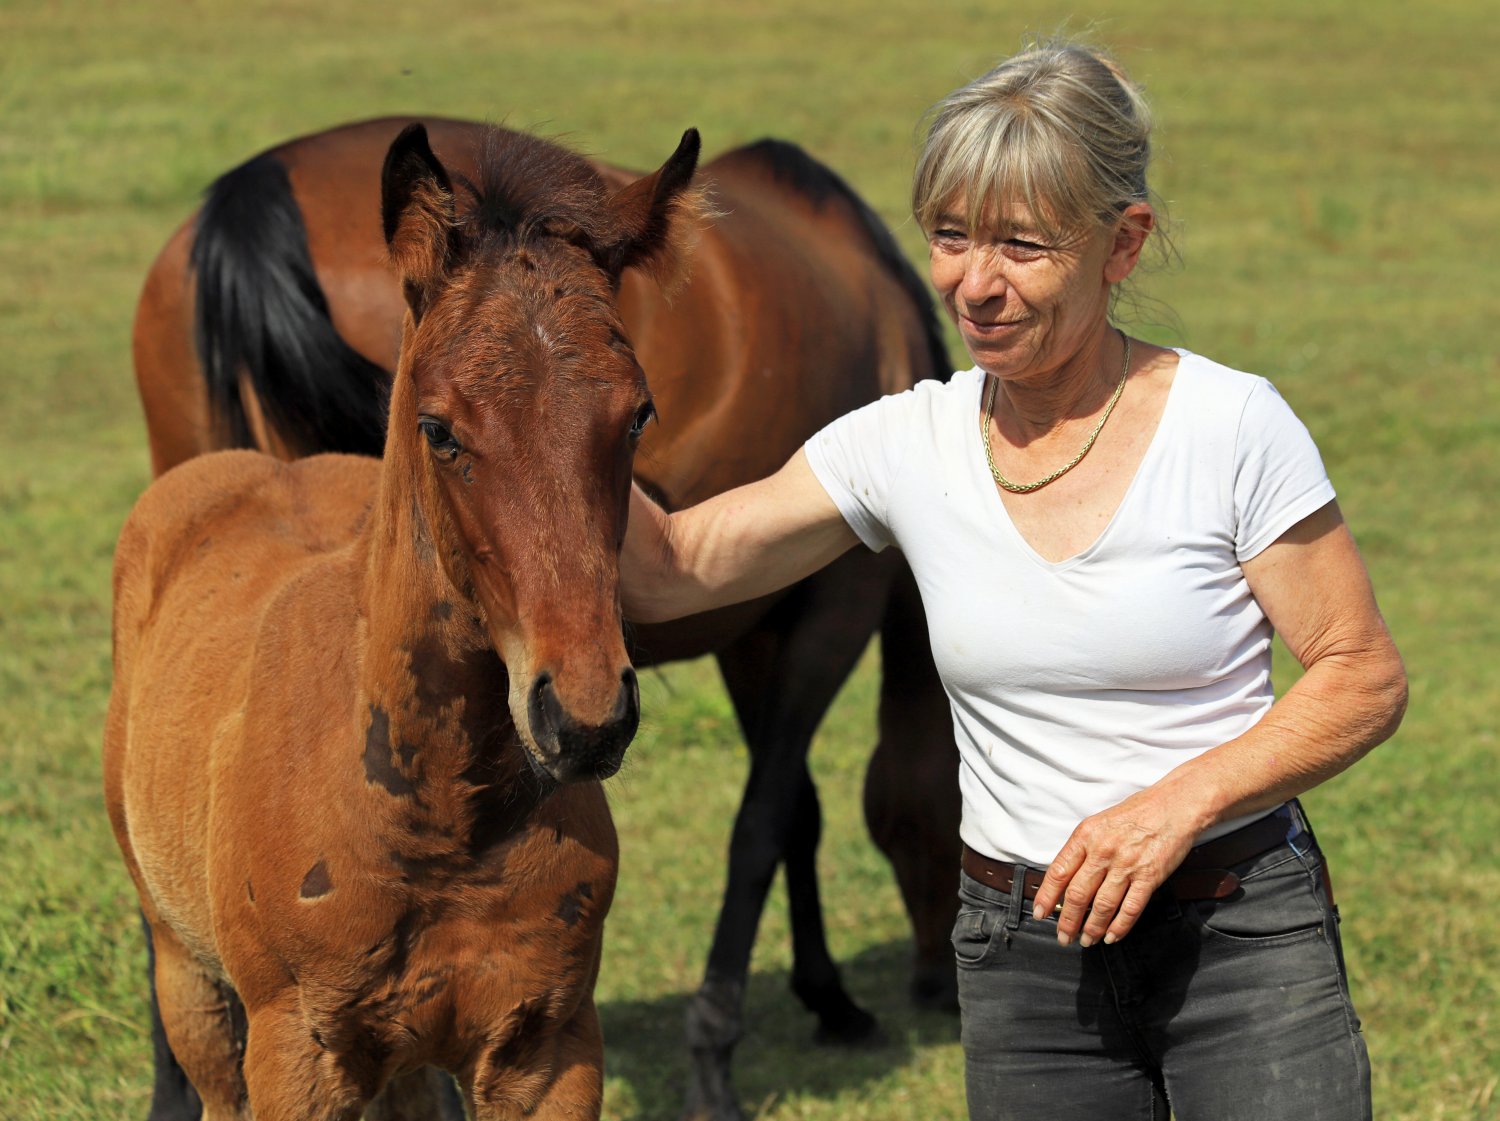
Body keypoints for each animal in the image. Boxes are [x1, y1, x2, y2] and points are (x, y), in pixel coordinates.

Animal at [130, 115, 962, 1121]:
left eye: (640, 415)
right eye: (438, 429)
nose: (938, 980)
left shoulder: (752, 624)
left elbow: (793, 808)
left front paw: (826, 995)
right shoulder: (831, 606)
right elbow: (766, 820)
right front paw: (724, 1051)